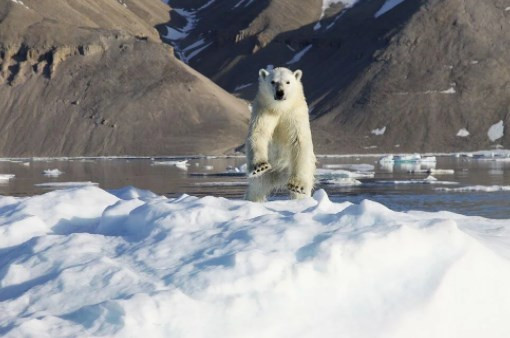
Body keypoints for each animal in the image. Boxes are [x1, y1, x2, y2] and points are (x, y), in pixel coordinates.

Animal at [246, 67, 314, 202]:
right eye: (273, 81)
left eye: (288, 82)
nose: (280, 93)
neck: (280, 108)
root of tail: (278, 177)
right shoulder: (264, 110)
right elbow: (258, 133)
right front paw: (260, 166)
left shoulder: (295, 114)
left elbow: (299, 141)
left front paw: (296, 185)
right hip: (265, 176)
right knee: (256, 189)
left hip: (290, 169)